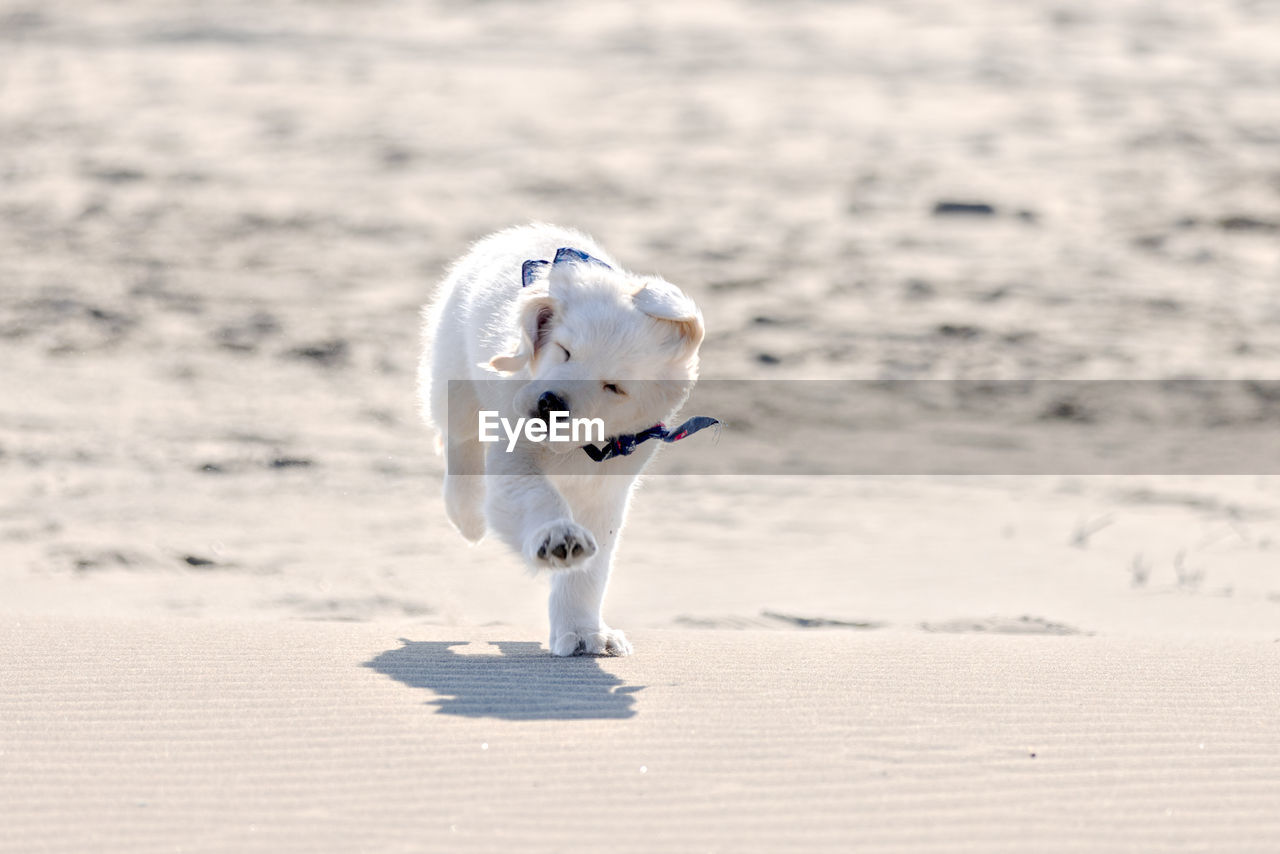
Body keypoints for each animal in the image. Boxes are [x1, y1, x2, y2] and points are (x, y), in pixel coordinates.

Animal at [419, 224, 706, 660]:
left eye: (614, 387)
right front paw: (558, 536)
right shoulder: (515, 456)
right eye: (565, 351)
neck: (578, 447)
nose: (549, 403)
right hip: (453, 375)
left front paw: (585, 632)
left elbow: (591, 571)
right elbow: (537, 498)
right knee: (460, 439)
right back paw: (466, 513)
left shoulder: (607, 485)